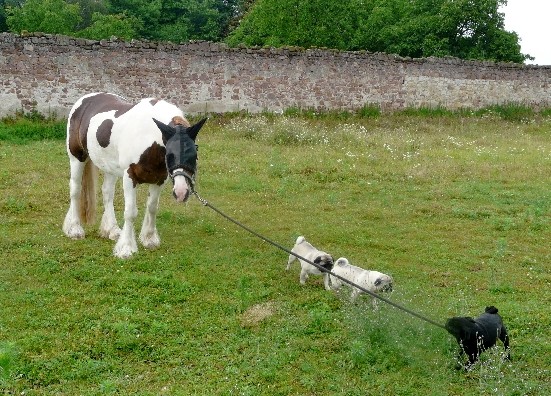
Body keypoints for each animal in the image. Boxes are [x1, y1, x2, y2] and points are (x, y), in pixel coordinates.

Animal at [62, 93, 205, 260]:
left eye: (195, 154)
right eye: (169, 154)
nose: (181, 192)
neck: (148, 137)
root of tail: (85, 99)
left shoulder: (159, 179)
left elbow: (152, 208)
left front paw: (149, 239)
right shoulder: (130, 177)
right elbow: (130, 213)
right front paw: (126, 249)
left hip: (109, 166)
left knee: (107, 193)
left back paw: (112, 230)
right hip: (77, 158)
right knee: (75, 190)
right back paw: (74, 229)